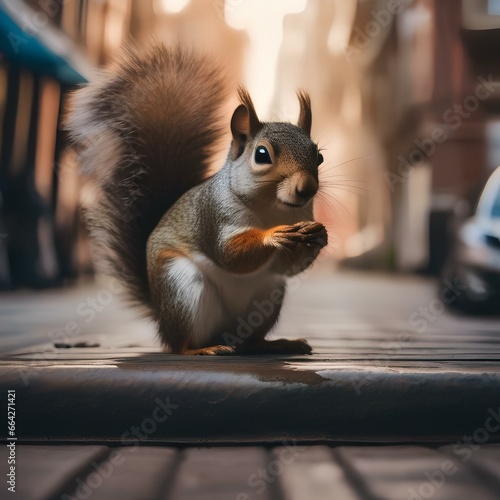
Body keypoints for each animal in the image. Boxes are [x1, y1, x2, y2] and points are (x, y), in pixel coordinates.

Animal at [64, 44, 326, 356]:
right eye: (262, 155)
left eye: (319, 157)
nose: (307, 188)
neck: (272, 210)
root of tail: (162, 318)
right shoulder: (212, 214)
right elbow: (229, 255)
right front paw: (272, 236)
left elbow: (287, 268)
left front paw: (319, 236)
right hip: (182, 287)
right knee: (181, 344)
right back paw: (202, 349)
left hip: (268, 296)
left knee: (250, 340)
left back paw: (276, 344)